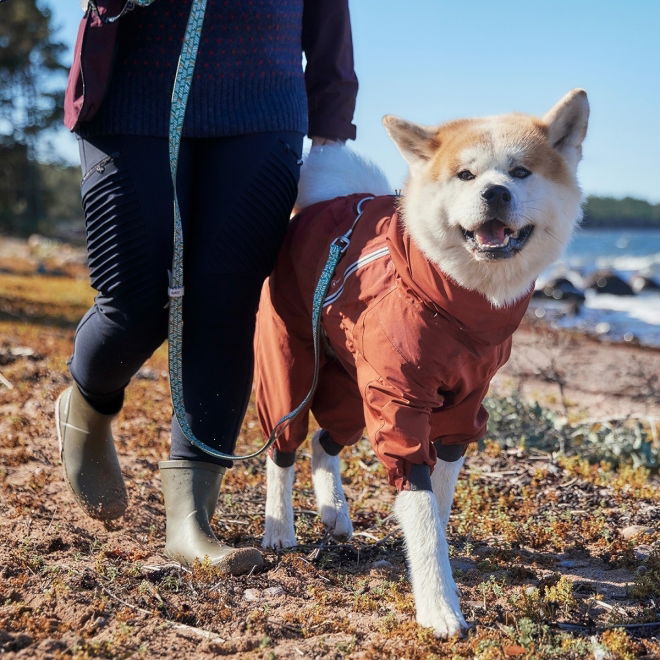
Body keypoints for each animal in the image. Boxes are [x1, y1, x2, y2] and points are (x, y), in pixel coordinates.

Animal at [255, 90, 592, 636]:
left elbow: (437, 498)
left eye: (520, 172)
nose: (496, 193)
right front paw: (439, 605)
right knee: (282, 445)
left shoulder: (462, 408)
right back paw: (279, 527)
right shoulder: (399, 407)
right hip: (292, 367)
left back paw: (334, 512)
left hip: (351, 392)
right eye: (466, 175)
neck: (460, 306)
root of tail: (328, 201)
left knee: (325, 442)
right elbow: (422, 510)